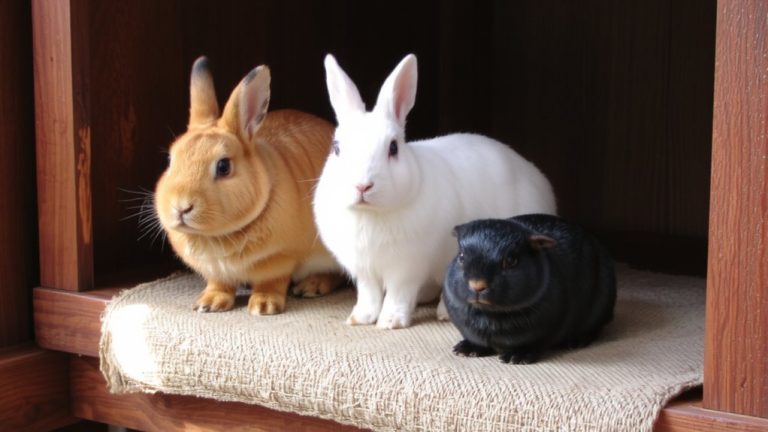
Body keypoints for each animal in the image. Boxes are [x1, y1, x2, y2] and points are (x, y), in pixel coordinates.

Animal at [154, 57, 345, 316]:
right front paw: (208, 303)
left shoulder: (280, 258)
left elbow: (271, 281)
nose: (181, 207)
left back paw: (311, 286)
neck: (217, 236)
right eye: (170, 160)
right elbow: (219, 284)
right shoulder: (216, 272)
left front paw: (263, 306)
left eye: (223, 166)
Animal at [313, 53, 557, 329]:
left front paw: (390, 322)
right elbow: (369, 294)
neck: (371, 214)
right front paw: (359, 319)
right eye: (336, 148)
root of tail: (537, 178)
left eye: (393, 148)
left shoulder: (406, 268)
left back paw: (444, 312)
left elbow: (398, 294)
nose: (362, 185)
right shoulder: (364, 271)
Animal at [443, 214, 616, 364]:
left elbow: (533, 344)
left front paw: (516, 358)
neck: (489, 314)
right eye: (461, 257)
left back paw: (576, 341)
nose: (477, 285)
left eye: (511, 261)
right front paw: (465, 350)